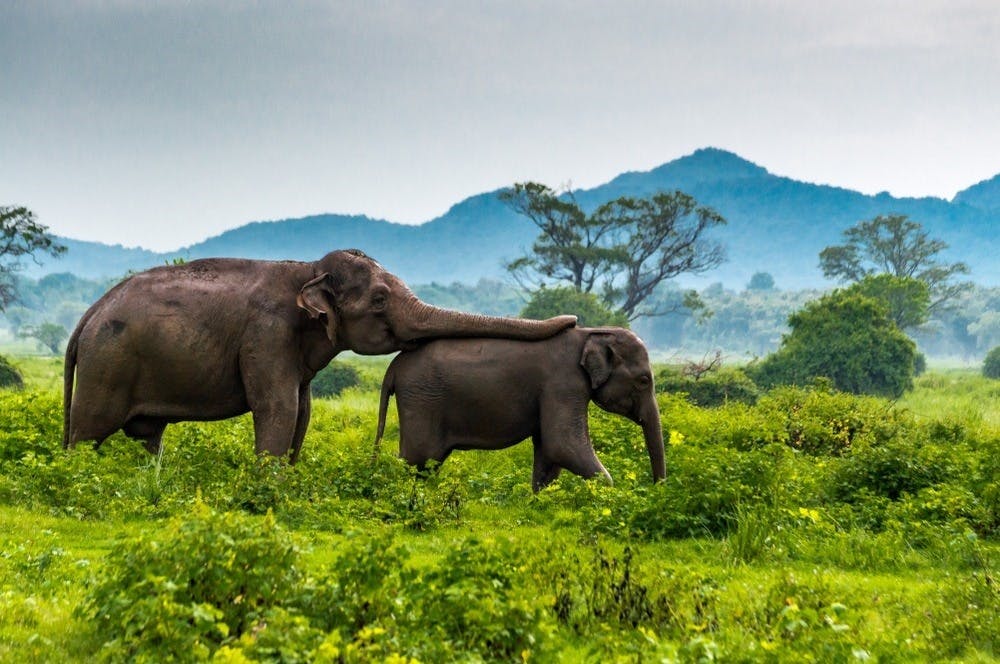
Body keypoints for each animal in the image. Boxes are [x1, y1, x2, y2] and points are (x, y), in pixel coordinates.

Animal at [63, 249, 576, 461]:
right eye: (379, 300)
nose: (572, 320)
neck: (307, 268)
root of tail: (86, 317)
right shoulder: (267, 335)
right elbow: (279, 408)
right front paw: (267, 487)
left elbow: (303, 412)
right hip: (107, 364)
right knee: (88, 431)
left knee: (147, 437)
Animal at [373, 326, 666, 491]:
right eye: (644, 380)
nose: (656, 489)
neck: (591, 333)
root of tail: (393, 367)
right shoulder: (563, 383)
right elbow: (562, 444)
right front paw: (610, 495)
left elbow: (549, 451)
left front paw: (539, 501)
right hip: (421, 400)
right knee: (416, 459)